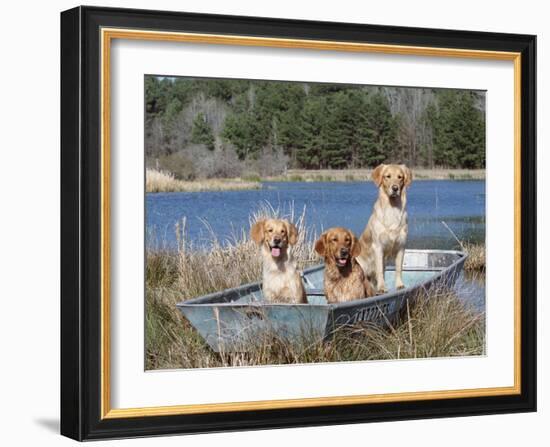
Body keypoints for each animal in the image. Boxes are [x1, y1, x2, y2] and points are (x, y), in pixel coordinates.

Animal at [358, 164, 414, 294]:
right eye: (387, 176)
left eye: (400, 177)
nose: (395, 188)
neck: (392, 209)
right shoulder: (378, 247)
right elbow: (379, 271)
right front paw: (382, 287)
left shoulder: (401, 246)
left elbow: (398, 269)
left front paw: (399, 285)